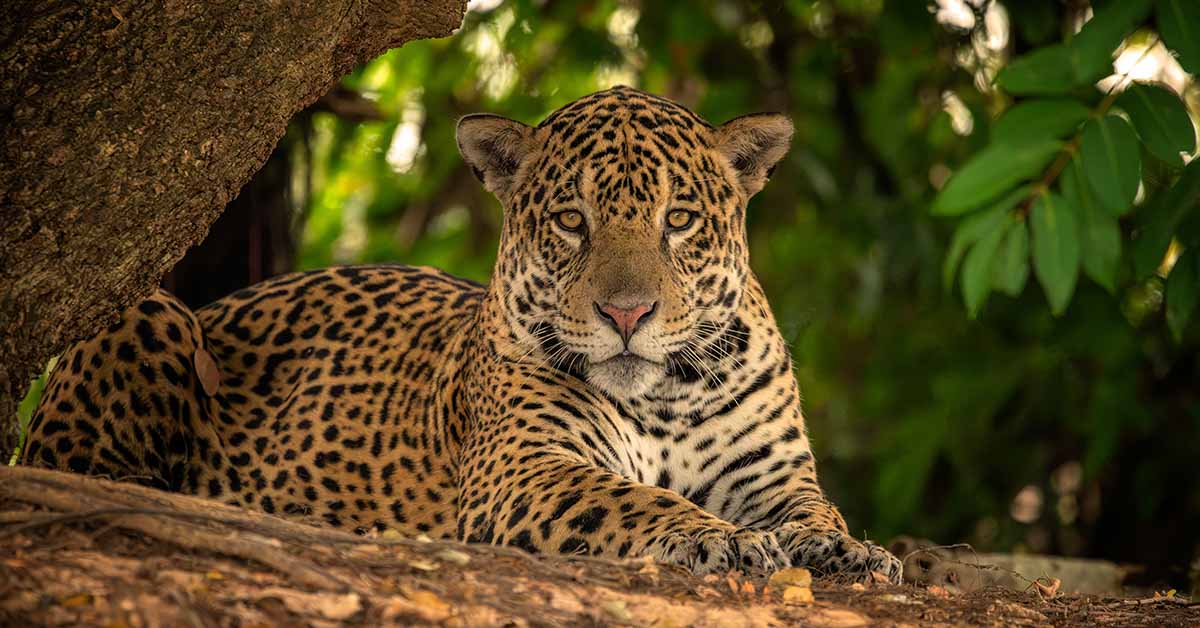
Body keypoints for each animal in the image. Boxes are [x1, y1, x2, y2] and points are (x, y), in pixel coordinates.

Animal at [22, 86, 902, 581]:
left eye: (679, 220)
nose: (626, 315)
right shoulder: (529, 468)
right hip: (148, 312)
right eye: (571, 223)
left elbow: (818, 513)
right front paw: (724, 541)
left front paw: (854, 552)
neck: (664, 398)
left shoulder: (772, 476)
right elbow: (634, 499)